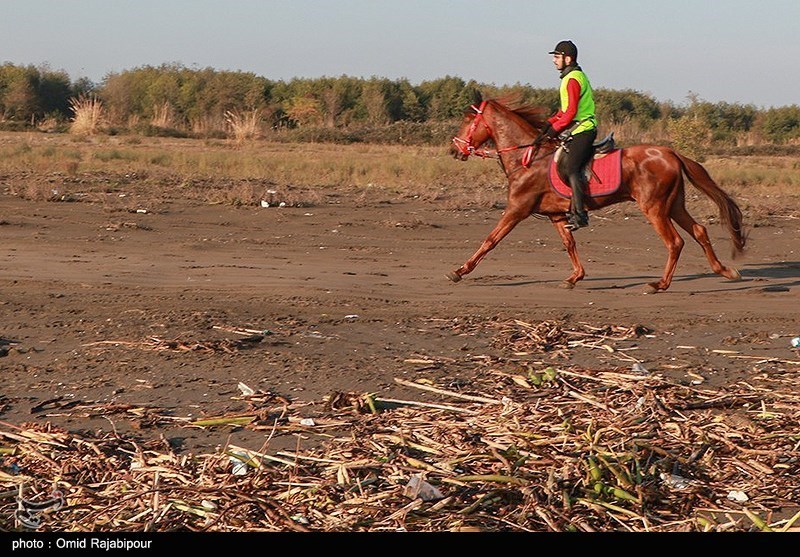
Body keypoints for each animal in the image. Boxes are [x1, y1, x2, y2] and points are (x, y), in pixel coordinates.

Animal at [446, 97, 748, 294]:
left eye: (468, 120)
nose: (454, 150)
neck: (528, 158)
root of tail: (671, 153)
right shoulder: (556, 215)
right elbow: (569, 244)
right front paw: (574, 277)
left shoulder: (517, 209)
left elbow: (490, 240)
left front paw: (459, 271)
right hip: (674, 205)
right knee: (699, 231)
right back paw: (725, 271)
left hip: (654, 207)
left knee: (675, 242)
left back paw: (659, 284)